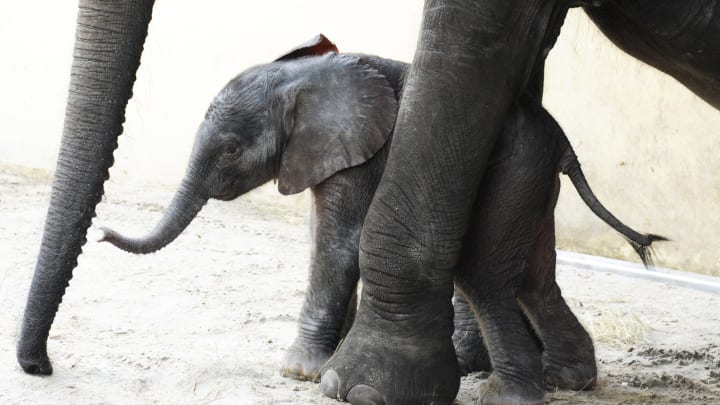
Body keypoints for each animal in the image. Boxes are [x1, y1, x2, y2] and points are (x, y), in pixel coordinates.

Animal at [15, 0, 720, 402]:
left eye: (230, 153)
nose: (104, 232)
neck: (305, 78)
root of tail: (564, 145)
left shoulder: (355, 155)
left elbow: (337, 243)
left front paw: (307, 375)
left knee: (497, 273)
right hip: (530, 179)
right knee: (533, 274)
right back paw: (565, 382)